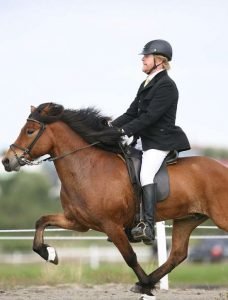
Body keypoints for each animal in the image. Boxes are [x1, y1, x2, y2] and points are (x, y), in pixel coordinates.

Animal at [1, 102, 228, 296]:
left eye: (30, 131)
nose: (7, 161)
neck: (87, 168)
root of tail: (222, 167)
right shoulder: (77, 222)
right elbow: (41, 221)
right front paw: (49, 253)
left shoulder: (112, 225)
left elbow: (130, 257)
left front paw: (145, 286)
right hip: (187, 219)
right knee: (177, 255)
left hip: (220, 218)